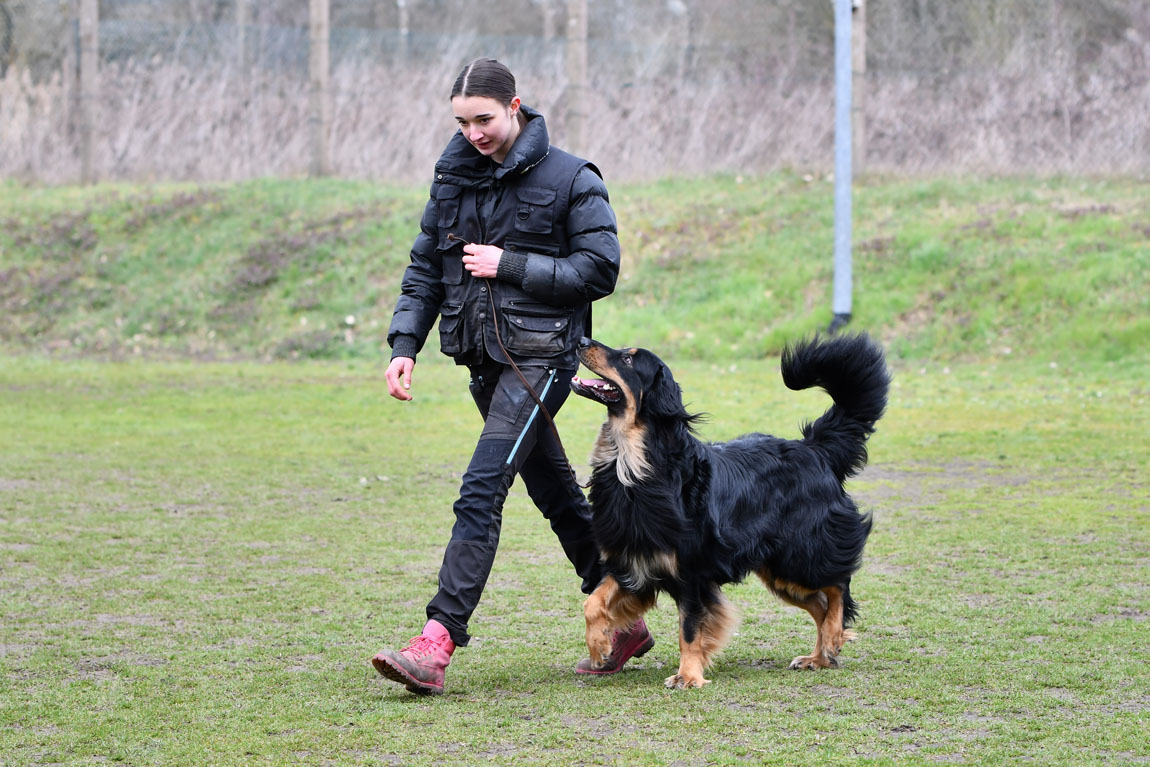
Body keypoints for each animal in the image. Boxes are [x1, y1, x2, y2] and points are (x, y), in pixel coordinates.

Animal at [572, 333, 887, 689]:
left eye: (628, 359)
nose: (581, 340)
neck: (635, 462)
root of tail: (814, 449)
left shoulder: (692, 573)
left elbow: (689, 629)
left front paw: (688, 675)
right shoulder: (633, 561)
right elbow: (592, 603)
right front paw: (599, 647)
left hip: (799, 553)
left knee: (838, 585)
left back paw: (833, 637)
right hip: (778, 569)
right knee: (820, 603)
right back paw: (819, 657)